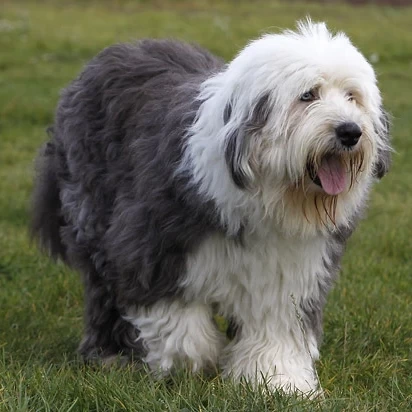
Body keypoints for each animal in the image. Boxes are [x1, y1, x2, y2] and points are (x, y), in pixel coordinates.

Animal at [31, 20, 391, 395]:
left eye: (352, 96)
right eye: (308, 95)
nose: (350, 131)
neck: (267, 196)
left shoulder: (289, 269)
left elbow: (274, 327)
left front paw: (279, 382)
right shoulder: (151, 248)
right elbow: (180, 324)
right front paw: (190, 364)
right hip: (92, 214)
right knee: (102, 288)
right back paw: (109, 354)